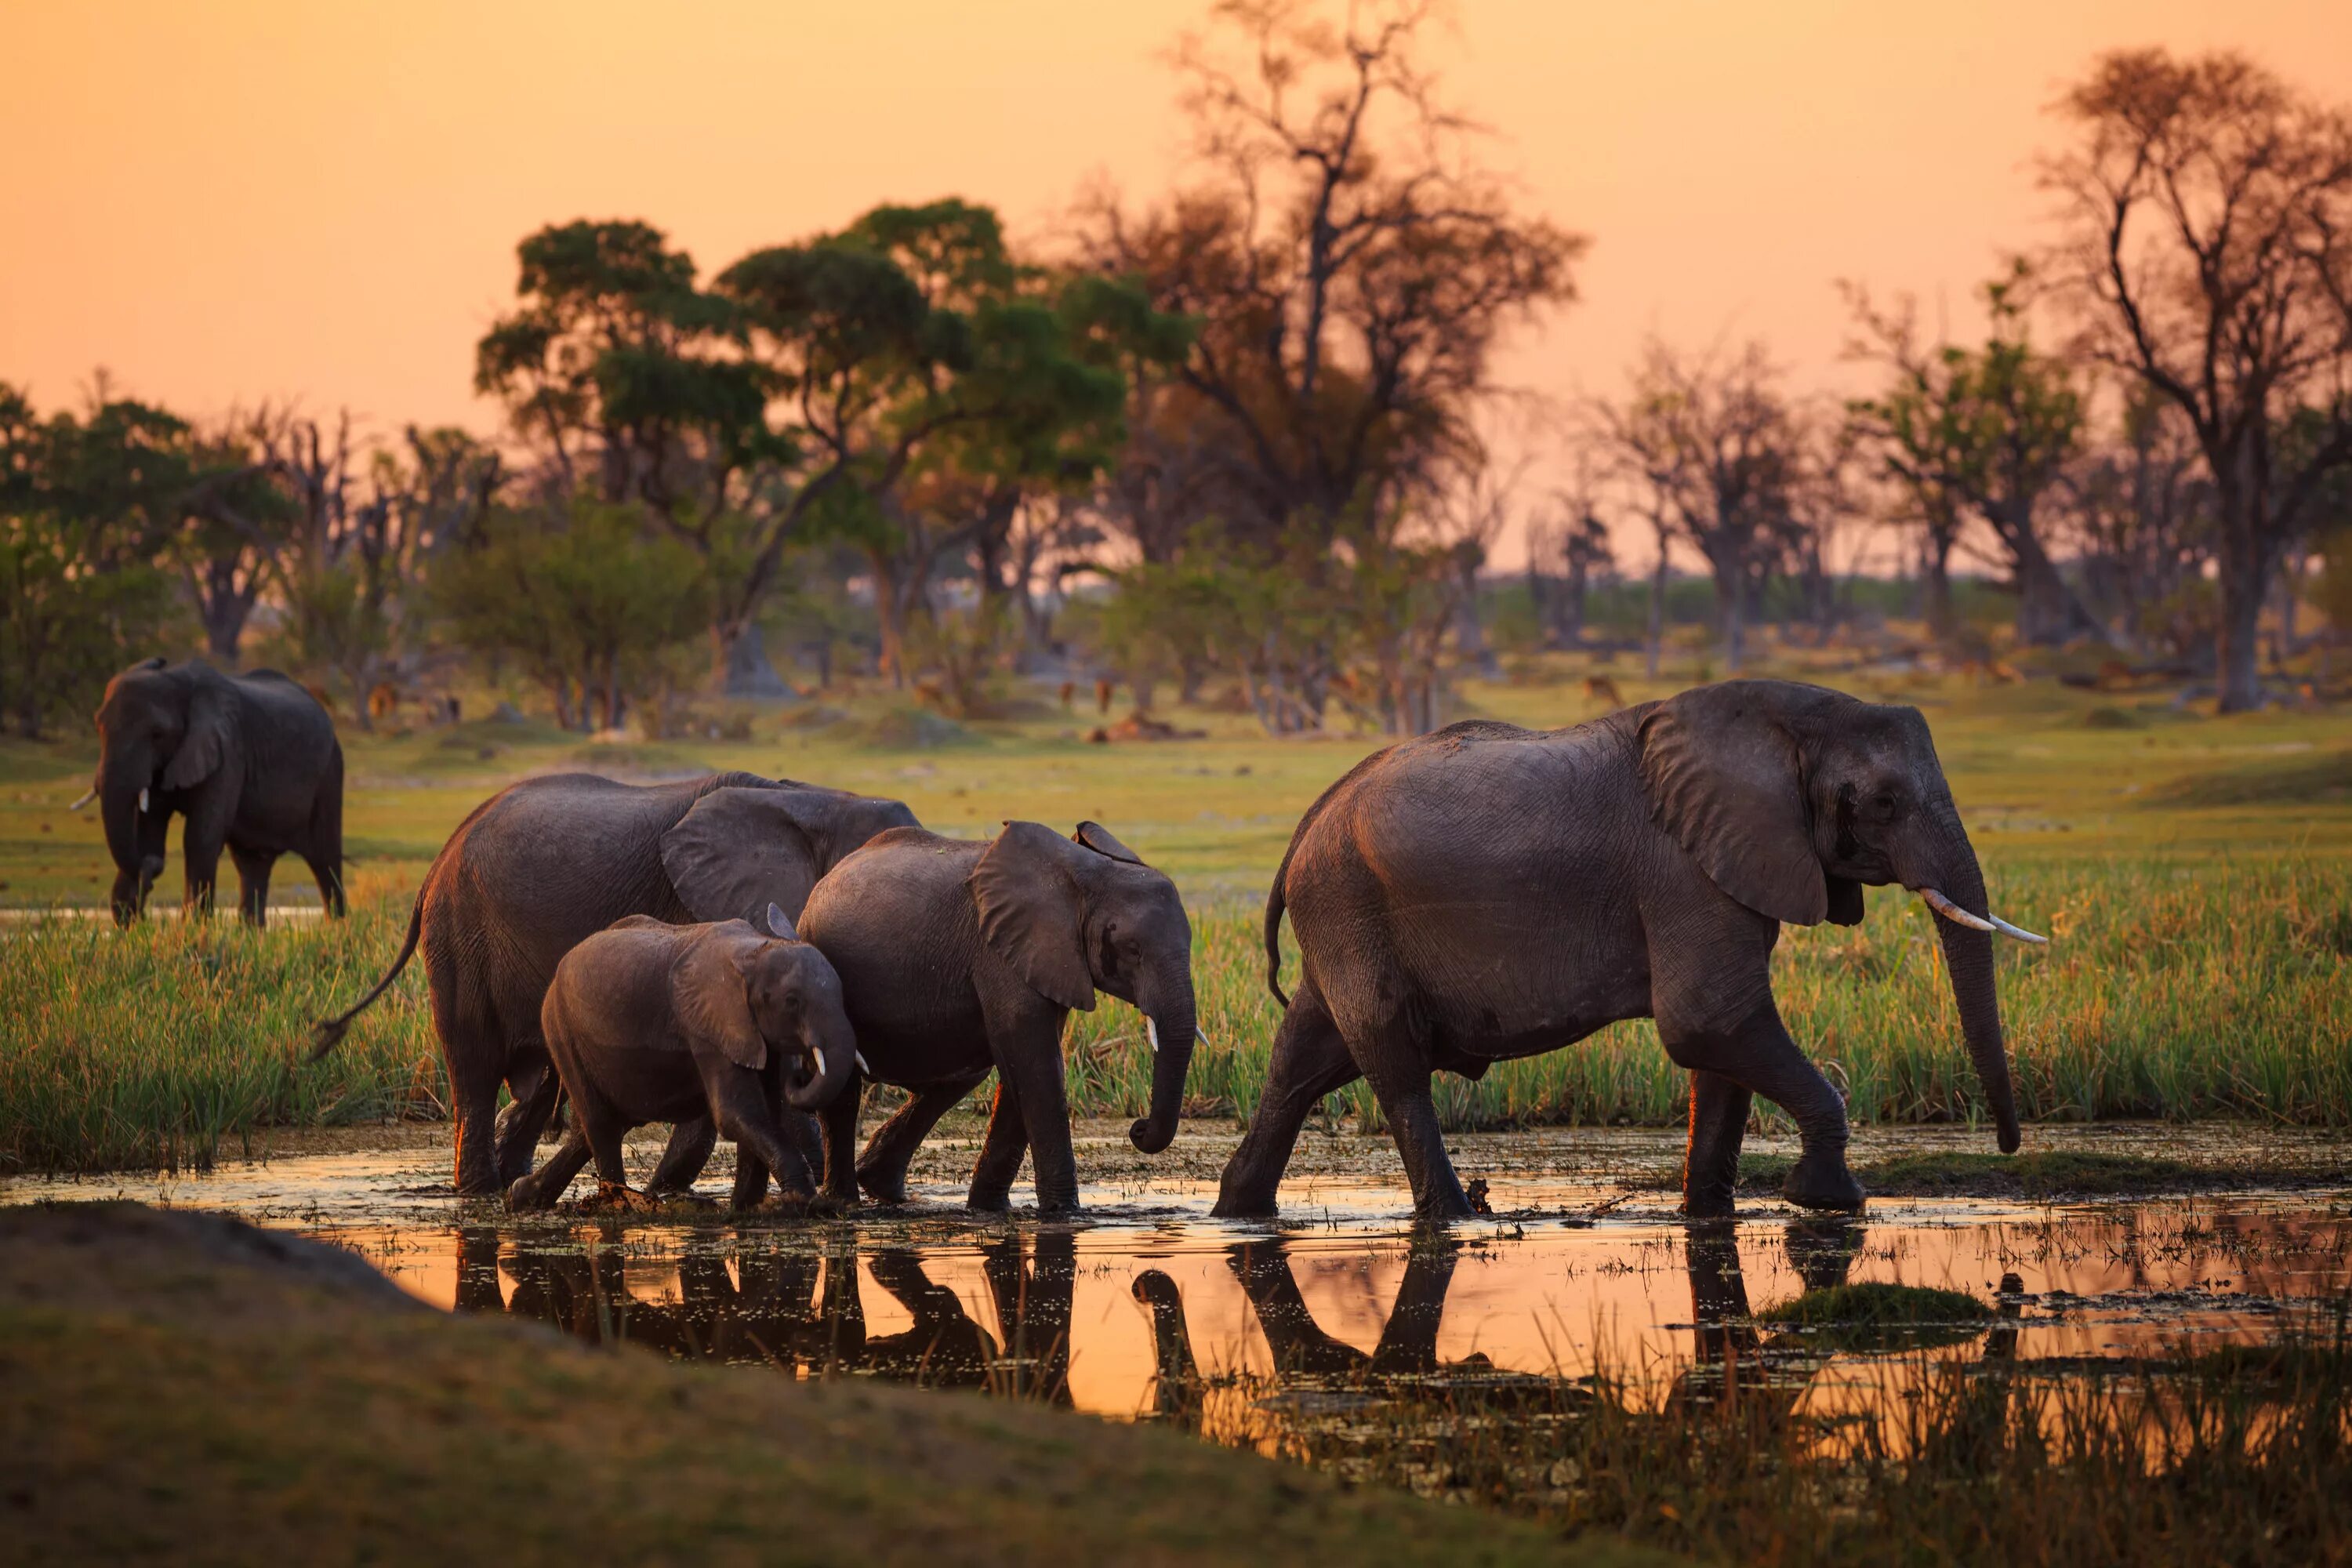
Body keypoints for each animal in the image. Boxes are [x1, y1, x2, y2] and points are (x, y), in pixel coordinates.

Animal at [82, 658, 346, 926]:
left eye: (157, 734)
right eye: (98, 727)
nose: (153, 869)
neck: (178, 679)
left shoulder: (227, 753)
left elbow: (200, 838)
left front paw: (192, 929)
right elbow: (148, 833)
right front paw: (131, 926)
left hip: (330, 774)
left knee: (325, 861)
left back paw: (336, 929)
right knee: (253, 864)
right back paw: (252, 933)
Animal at [506, 907, 866, 1213]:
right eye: (792, 1001)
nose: (804, 1066)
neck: (755, 951)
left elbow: (763, 1111)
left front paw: (746, 1207)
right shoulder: (707, 1028)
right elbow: (736, 1113)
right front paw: (799, 1201)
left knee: (603, 1125)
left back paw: (521, 1196)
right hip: (561, 1029)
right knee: (601, 1123)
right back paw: (616, 1203)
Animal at [800, 822, 1204, 1213]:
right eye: (1133, 950)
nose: (1138, 1129)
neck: (1086, 875)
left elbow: (1023, 1069)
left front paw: (990, 1208)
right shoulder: (999, 952)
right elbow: (1037, 1067)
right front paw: (1065, 1213)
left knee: (957, 1077)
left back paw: (882, 1188)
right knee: (843, 1087)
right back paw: (843, 1203)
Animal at [1223, 681, 2051, 1222]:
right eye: (1883, 802)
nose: (2009, 1146)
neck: (1788, 722)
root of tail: (1310, 820)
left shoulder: (1733, 863)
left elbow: (1721, 1049)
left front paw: (1709, 1216)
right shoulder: (1683, 868)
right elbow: (1708, 1021)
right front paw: (1829, 1200)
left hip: (1341, 915)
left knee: (1302, 1058)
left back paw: (1239, 1209)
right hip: (1348, 904)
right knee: (1395, 1069)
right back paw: (1458, 1217)